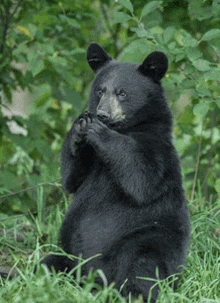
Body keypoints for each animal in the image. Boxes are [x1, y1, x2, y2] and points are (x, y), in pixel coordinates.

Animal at [41, 42, 191, 302]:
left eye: (122, 93)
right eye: (100, 91)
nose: (102, 114)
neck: (126, 128)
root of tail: (96, 280)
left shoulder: (158, 150)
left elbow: (141, 176)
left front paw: (96, 128)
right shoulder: (90, 164)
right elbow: (71, 178)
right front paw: (79, 127)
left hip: (148, 239)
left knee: (142, 267)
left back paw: (133, 293)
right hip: (70, 256)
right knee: (48, 263)